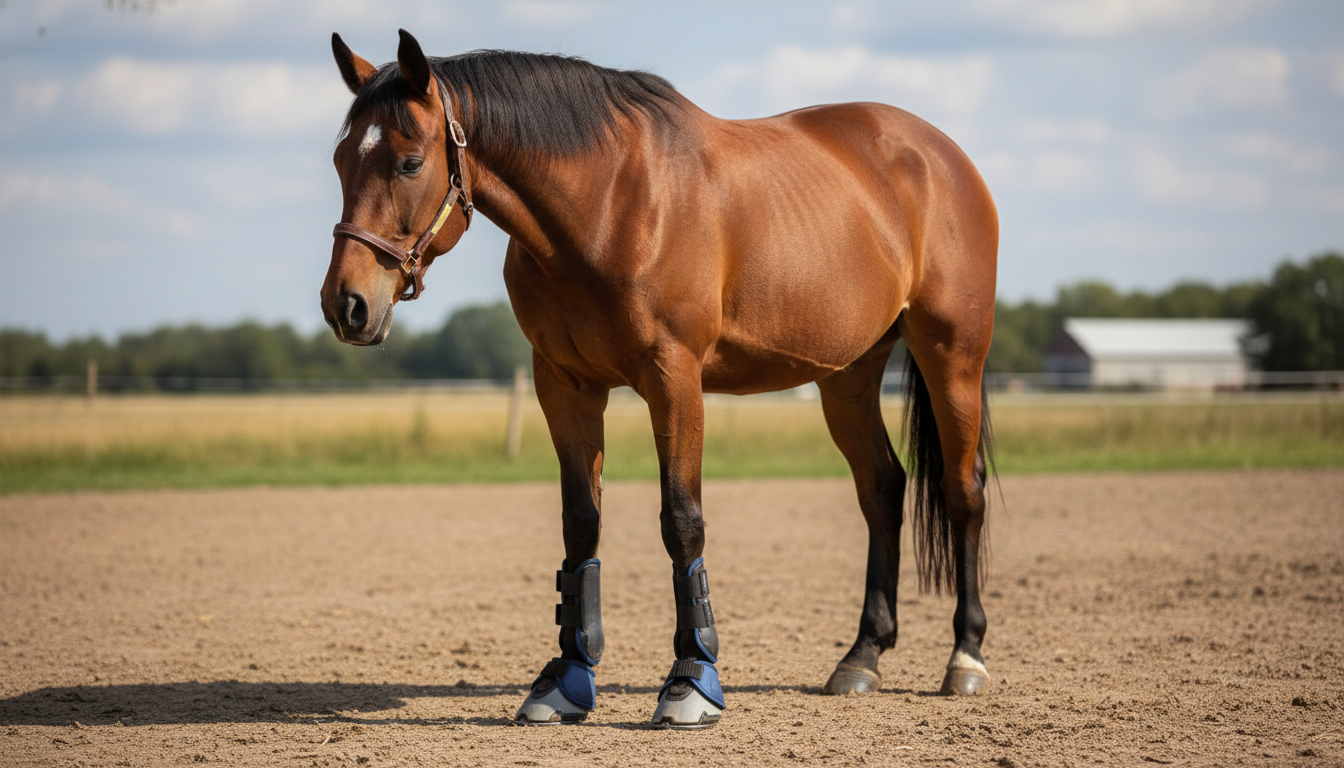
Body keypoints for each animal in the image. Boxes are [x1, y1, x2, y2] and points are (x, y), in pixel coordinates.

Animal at [321, 29, 998, 729]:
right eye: (341, 159)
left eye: (408, 163)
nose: (347, 305)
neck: (608, 202)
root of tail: (939, 153)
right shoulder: (564, 385)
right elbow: (580, 522)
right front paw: (566, 678)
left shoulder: (674, 378)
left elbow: (681, 521)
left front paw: (691, 680)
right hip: (848, 376)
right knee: (882, 489)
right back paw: (862, 656)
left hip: (953, 356)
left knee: (963, 491)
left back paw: (965, 657)